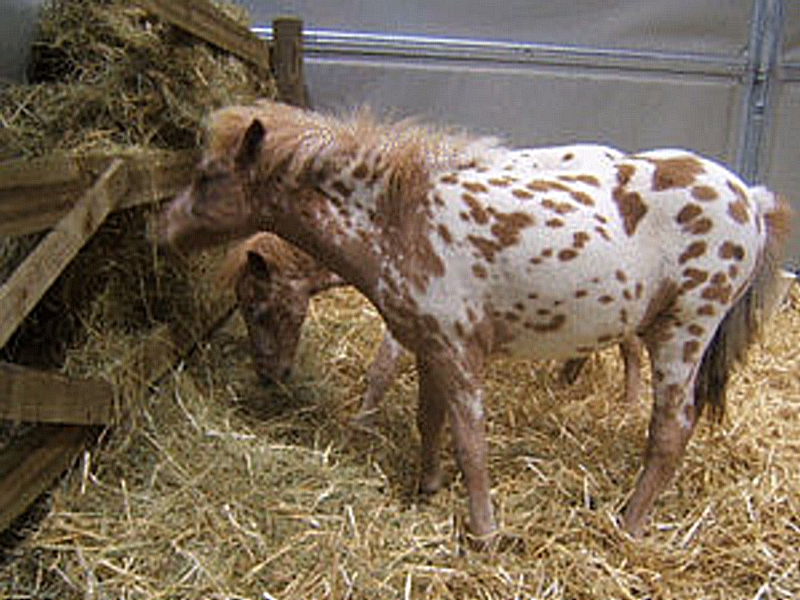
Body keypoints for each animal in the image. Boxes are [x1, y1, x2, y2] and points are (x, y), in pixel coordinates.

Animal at [156, 100, 792, 540]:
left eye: (208, 176)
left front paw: (484, 532)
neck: (400, 220)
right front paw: (426, 488)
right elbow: (428, 420)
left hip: (683, 330)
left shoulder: (458, 351)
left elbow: (469, 440)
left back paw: (629, 524)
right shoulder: (429, 346)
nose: (160, 230)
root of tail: (749, 197)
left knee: (671, 428)